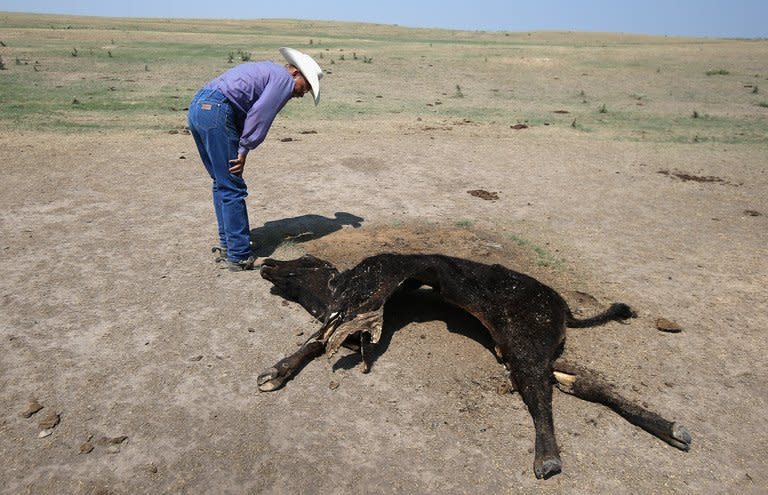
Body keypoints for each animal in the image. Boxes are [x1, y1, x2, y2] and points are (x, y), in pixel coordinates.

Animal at [256, 254, 688, 478]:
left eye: (304, 260)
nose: (267, 260)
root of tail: (562, 305)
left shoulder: (364, 295)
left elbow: (322, 333)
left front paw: (277, 370)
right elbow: (321, 339)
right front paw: (278, 372)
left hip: (523, 344)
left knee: (541, 390)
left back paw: (547, 457)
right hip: (535, 348)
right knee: (582, 382)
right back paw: (670, 429)